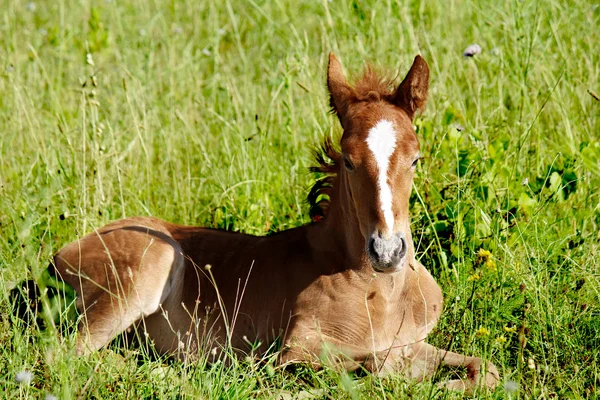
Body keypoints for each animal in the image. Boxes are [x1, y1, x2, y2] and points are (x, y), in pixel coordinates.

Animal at [54, 53, 500, 390]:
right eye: (349, 161)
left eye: (415, 159)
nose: (387, 252)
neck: (384, 292)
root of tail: (61, 254)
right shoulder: (298, 346)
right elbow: (371, 366)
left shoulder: (414, 341)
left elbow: (484, 367)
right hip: (149, 266)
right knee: (65, 355)